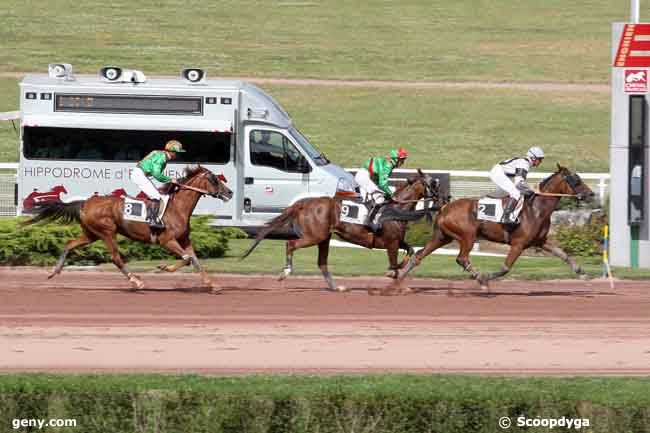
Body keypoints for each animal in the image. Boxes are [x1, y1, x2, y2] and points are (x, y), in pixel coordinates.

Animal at [21, 165, 232, 290]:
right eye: (214, 179)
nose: (229, 192)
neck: (177, 207)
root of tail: (84, 203)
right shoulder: (167, 240)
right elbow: (187, 259)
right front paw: (162, 267)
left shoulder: (184, 239)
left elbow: (194, 260)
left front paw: (211, 284)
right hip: (107, 232)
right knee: (116, 257)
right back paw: (136, 280)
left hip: (92, 234)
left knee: (69, 244)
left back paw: (54, 271)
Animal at [240, 169, 442, 290]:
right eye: (433, 183)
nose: (443, 198)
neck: (396, 210)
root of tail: (304, 203)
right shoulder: (391, 242)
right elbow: (393, 264)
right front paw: (395, 277)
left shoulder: (397, 241)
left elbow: (411, 251)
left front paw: (401, 274)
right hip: (315, 235)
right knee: (290, 244)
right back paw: (286, 272)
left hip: (324, 238)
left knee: (322, 263)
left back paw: (335, 287)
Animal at [394, 164, 592, 288]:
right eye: (575, 180)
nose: (590, 194)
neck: (536, 209)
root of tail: (445, 207)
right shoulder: (519, 243)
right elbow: (505, 268)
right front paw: (487, 276)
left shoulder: (540, 241)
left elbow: (563, 254)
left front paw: (582, 273)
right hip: (467, 236)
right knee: (462, 258)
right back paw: (481, 279)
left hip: (442, 236)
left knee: (419, 255)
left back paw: (399, 280)